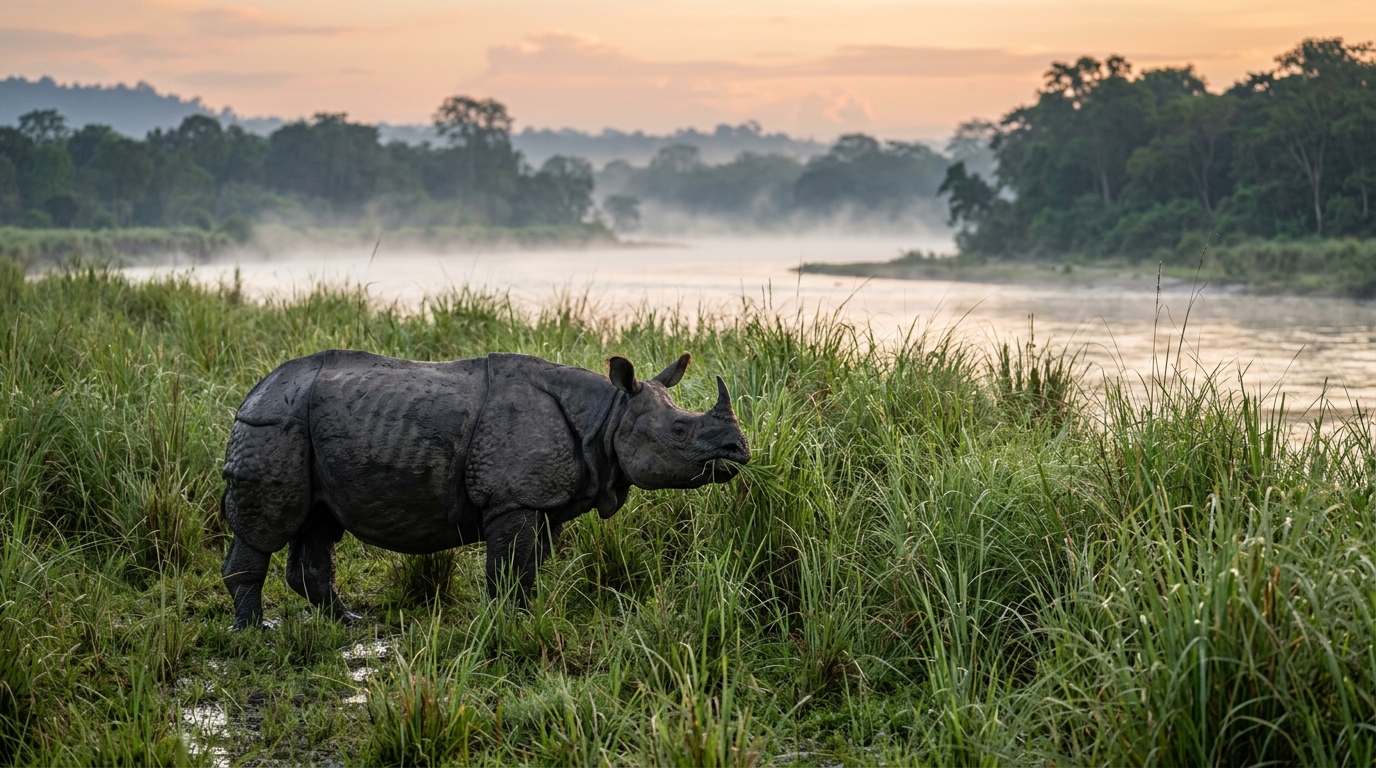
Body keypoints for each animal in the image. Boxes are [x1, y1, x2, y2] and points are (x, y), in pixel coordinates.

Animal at [219, 350, 750, 629]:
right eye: (680, 430)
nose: (740, 450)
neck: (608, 416)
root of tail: (253, 392)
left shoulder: (541, 502)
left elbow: (530, 566)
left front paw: (526, 617)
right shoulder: (512, 500)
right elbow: (510, 567)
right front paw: (508, 624)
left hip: (303, 429)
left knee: (318, 522)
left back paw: (348, 621)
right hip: (273, 426)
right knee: (267, 527)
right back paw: (253, 631)